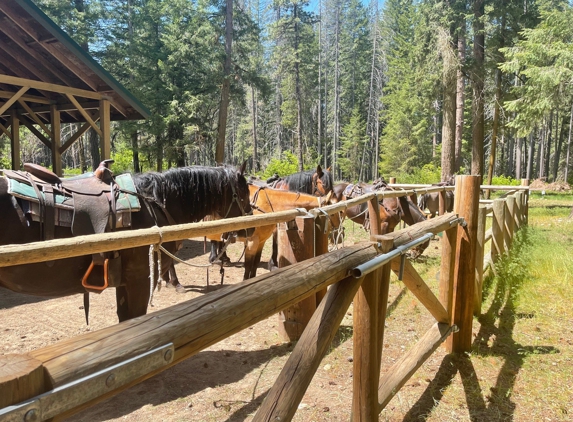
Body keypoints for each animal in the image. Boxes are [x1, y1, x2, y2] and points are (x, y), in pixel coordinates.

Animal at [0, 163, 250, 322]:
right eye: (245, 194)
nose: (250, 228)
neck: (154, 204)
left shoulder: (123, 281)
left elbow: (124, 319)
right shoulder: (139, 279)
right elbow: (134, 319)